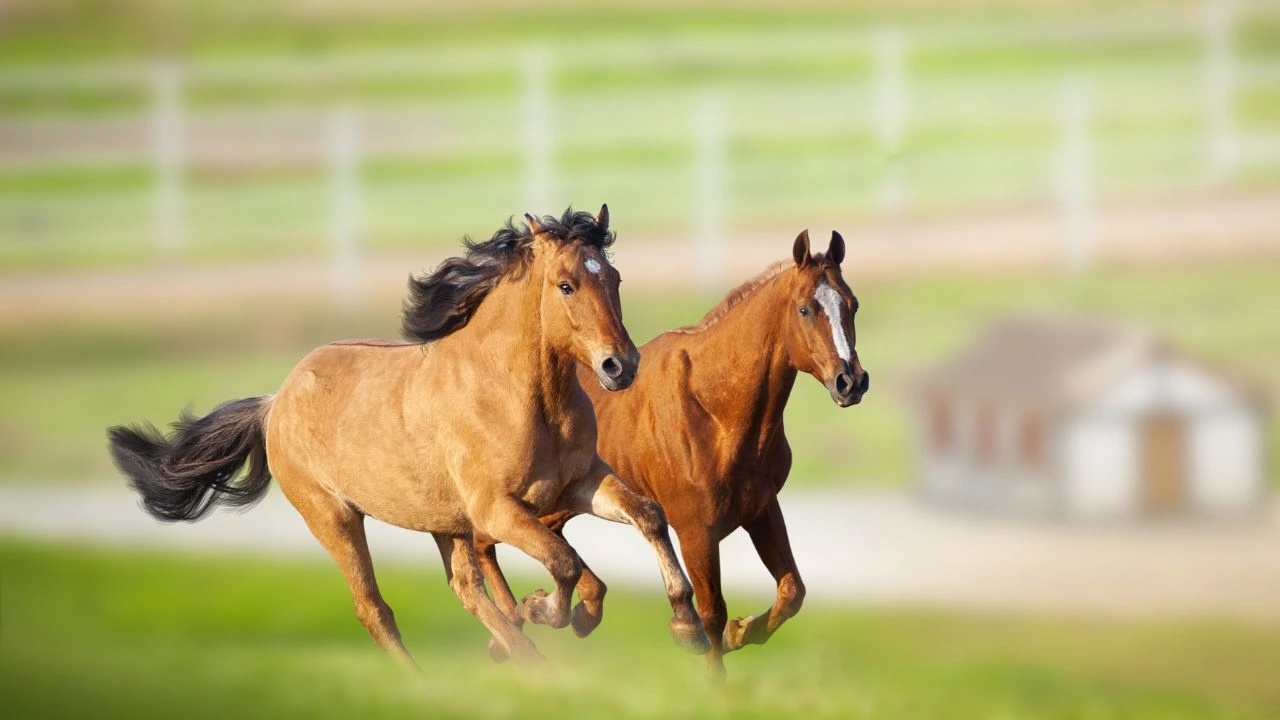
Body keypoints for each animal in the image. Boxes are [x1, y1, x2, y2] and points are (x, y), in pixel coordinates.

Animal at [107, 206, 710, 669]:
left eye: (614, 279)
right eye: (566, 285)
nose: (620, 366)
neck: (518, 395)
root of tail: (275, 403)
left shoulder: (578, 483)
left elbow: (646, 517)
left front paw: (685, 627)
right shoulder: (497, 511)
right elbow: (562, 563)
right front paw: (546, 608)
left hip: (442, 523)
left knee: (466, 591)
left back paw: (528, 659)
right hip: (336, 519)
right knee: (374, 608)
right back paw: (432, 678)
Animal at [473, 229, 867, 675]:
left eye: (851, 304)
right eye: (805, 309)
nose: (851, 381)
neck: (713, 409)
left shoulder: (761, 508)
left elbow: (791, 592)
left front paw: (740, 632)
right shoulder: (696, 530)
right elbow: (711, 612)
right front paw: (709, 659)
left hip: (559, 502)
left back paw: (560, 614)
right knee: (484, 541)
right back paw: (515, 627)